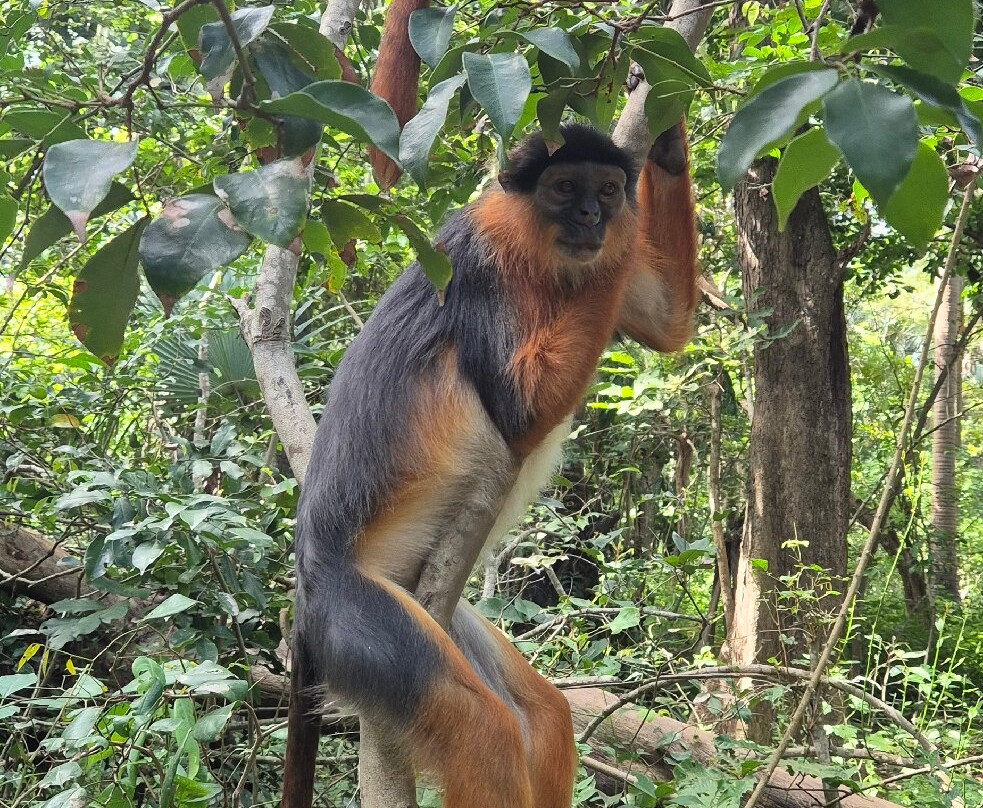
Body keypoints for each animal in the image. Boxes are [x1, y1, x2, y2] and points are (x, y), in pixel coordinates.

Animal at [280, 121, 698, 808]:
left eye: (608, 190)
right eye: (565, 189)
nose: (593, 217)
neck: (535, 251)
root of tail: (307, 591)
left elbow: (667, 324)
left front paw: (666, 137)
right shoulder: (478, 268)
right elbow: (520, 409)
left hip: (443, 616)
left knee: (545, 714)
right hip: (355, 615)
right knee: (482, 728)